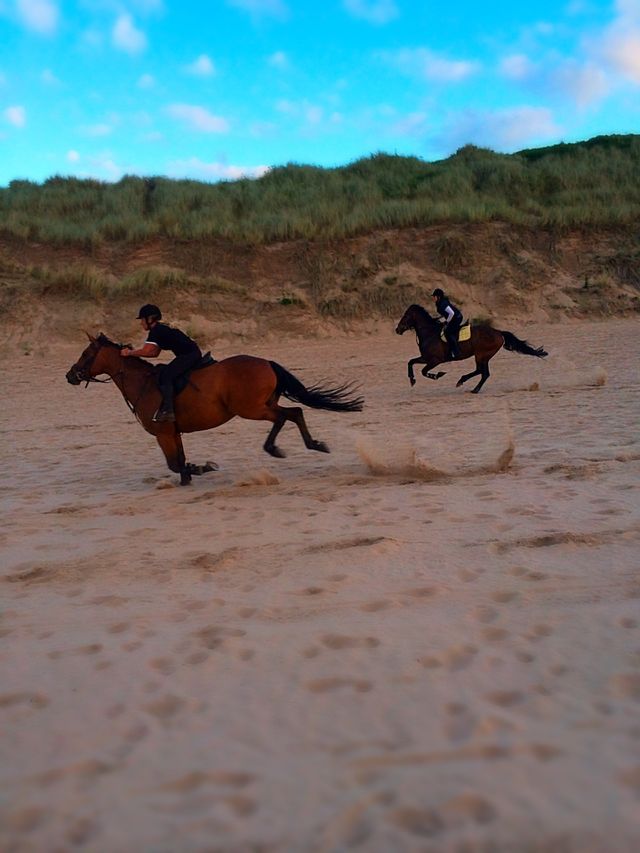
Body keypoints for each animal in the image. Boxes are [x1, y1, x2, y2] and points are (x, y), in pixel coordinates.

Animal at [66, 334, 363, 485]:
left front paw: (202, 468)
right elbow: (179, 462)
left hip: (251, 409)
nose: (70, 375)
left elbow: (175, 463)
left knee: (282, 418)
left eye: (85, 354)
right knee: (295, 413)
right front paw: (190, 475)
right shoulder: (174, 433)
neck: (143, 383)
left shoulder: (163, 433)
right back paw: (315, 444)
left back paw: (274, 448)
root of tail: (266, 362)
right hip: (264, 404)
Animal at [395, 304, 547, 393]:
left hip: (481, 354)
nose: (397, 329)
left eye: (406, 316)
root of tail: (498, 332)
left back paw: (468, 385)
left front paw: (438, 374)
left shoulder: (435, 360)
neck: (430, 333)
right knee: (483, 372)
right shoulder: (426, 358)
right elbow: (411, 362)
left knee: (482, 372)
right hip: (483, 356)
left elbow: (423, 371)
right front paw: (412, 380)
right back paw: (469, 385)